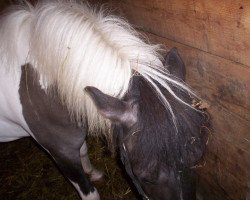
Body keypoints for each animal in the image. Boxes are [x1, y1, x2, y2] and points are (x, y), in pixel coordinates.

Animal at [0, 0, 208, 199]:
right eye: (145, 177)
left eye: (198, 159)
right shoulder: (61, 153)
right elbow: (90, 192)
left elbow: (83, 149)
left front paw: (93, 172)